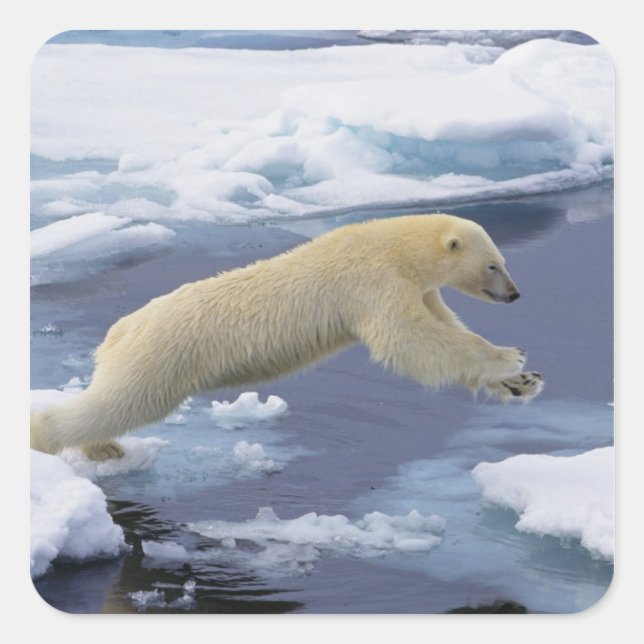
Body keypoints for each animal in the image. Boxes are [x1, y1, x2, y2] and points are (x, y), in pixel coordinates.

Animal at [30, 214, 543, 461]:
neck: (393, 248)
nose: (515, 294)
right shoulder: (371, 282)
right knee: (121, 402)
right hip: (161, 355)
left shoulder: (417, 288)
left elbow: (444, 330)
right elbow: (412, 342)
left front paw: (522, 382)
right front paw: (511, 358)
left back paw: (103, 446)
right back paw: (52, 439)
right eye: (493, 264)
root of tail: (119, 330)